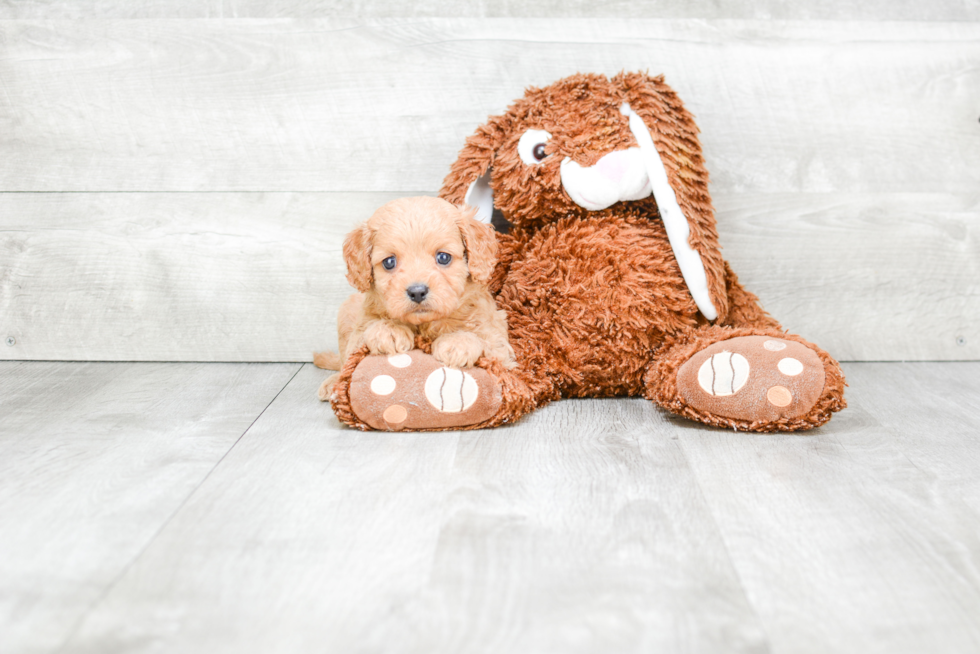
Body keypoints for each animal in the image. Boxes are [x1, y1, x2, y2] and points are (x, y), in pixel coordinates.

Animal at [320, 196, 520, 400]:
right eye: (389, 262)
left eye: (443, 257)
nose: (417, 292)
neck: (424, 324)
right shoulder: (358, 332)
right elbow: (359, 343)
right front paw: (388, 330)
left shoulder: (498, 341)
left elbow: (488, 344)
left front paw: (457, 342)